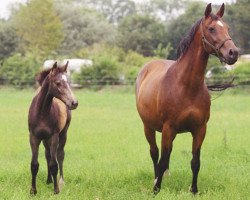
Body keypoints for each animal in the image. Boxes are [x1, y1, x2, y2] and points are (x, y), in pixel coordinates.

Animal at [28, 61, 78, 194]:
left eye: (68, 82)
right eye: (58, 83)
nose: (74, 103)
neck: (42, 113)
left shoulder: (54, 136)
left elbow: (54, 164)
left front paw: (56, 190)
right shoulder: (34, 137)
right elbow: (34, 164)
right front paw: (33, 191)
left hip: (63, 133)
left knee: (60, 155)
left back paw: (60, 181)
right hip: (45, 139)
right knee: (48, 155)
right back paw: (48, 180)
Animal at [136, 2, 239, 194]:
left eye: (227, 28)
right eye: (211, 28)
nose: (233, 53)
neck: (186, 86)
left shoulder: (200, 129)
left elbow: (195, 161)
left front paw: (194, 190)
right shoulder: (168, 128)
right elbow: (162, 160)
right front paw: (156, 190)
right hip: (149, 127)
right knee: (155, 153)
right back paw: (156, 180)